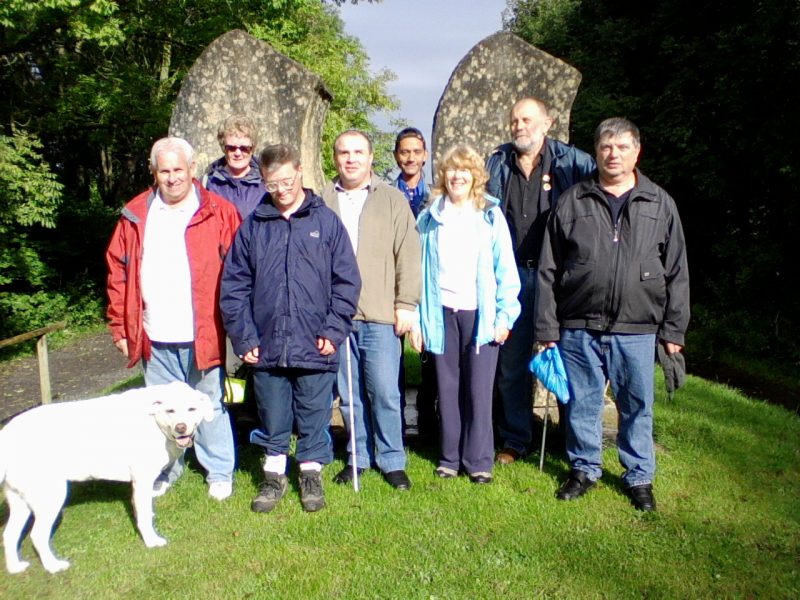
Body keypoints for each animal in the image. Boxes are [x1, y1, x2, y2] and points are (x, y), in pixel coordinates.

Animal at [0, 382, 214, 576]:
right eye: (170, 410)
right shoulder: (142, 479)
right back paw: (53, 566)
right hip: (50, 497)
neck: (154, 423)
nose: (181, 428)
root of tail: (7, 434)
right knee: (37, 535)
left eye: (192, 409)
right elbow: (144, 516)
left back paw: (15, 568)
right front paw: (151, 541)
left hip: (20, 501)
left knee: (9, 534)